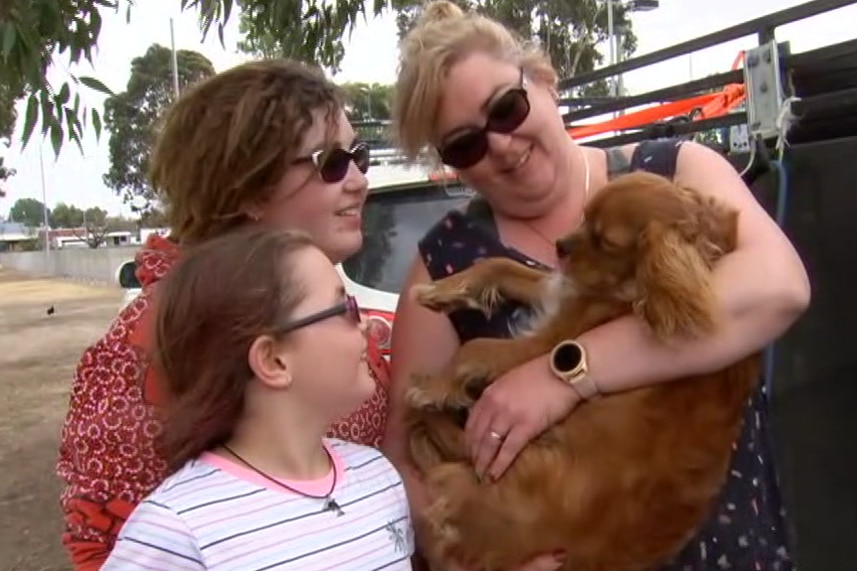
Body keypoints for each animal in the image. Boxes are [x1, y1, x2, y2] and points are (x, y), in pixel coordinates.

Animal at [404, 172, 760, 571]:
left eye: (606, 241)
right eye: (584, 216)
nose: (560, 246)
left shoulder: (550, 342)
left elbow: (475, 348)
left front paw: (435, 386)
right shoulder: (561, 288)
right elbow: (498, 265)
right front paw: (440, 291)